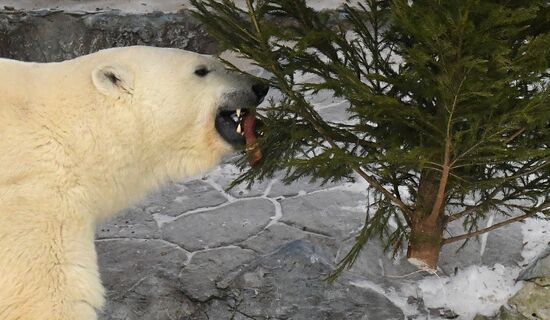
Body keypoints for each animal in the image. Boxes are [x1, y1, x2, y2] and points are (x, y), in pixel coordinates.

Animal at [0, 45, 268, 320]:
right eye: (201, 70)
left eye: (219, 63)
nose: (259, 86)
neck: (75, 128)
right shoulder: (36, 194)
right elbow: (48, 294)